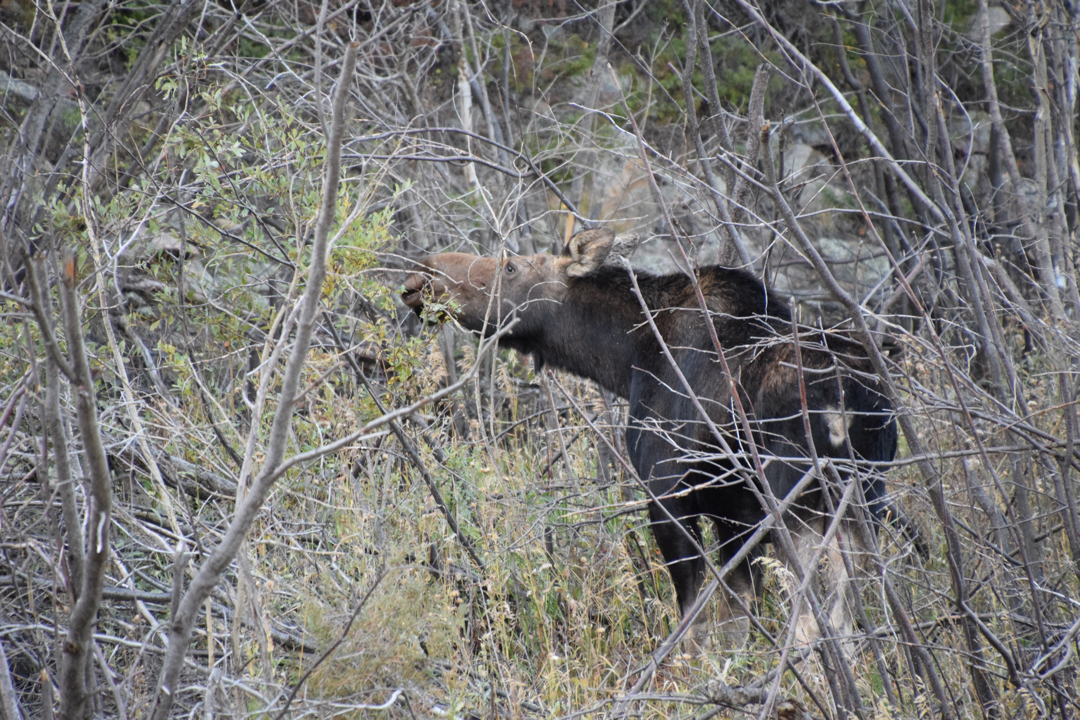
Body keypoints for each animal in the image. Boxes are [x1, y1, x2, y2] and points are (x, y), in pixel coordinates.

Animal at [401, 227, 898, 651]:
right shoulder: (735, 514)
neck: (627, 361)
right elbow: (736, 620)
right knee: (846, 621)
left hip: (796, 504)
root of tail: (851, 402)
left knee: (815, 622)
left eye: (511, 267)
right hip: (863, 502)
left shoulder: (667, 493)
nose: (421, 275)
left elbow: (692, 621)